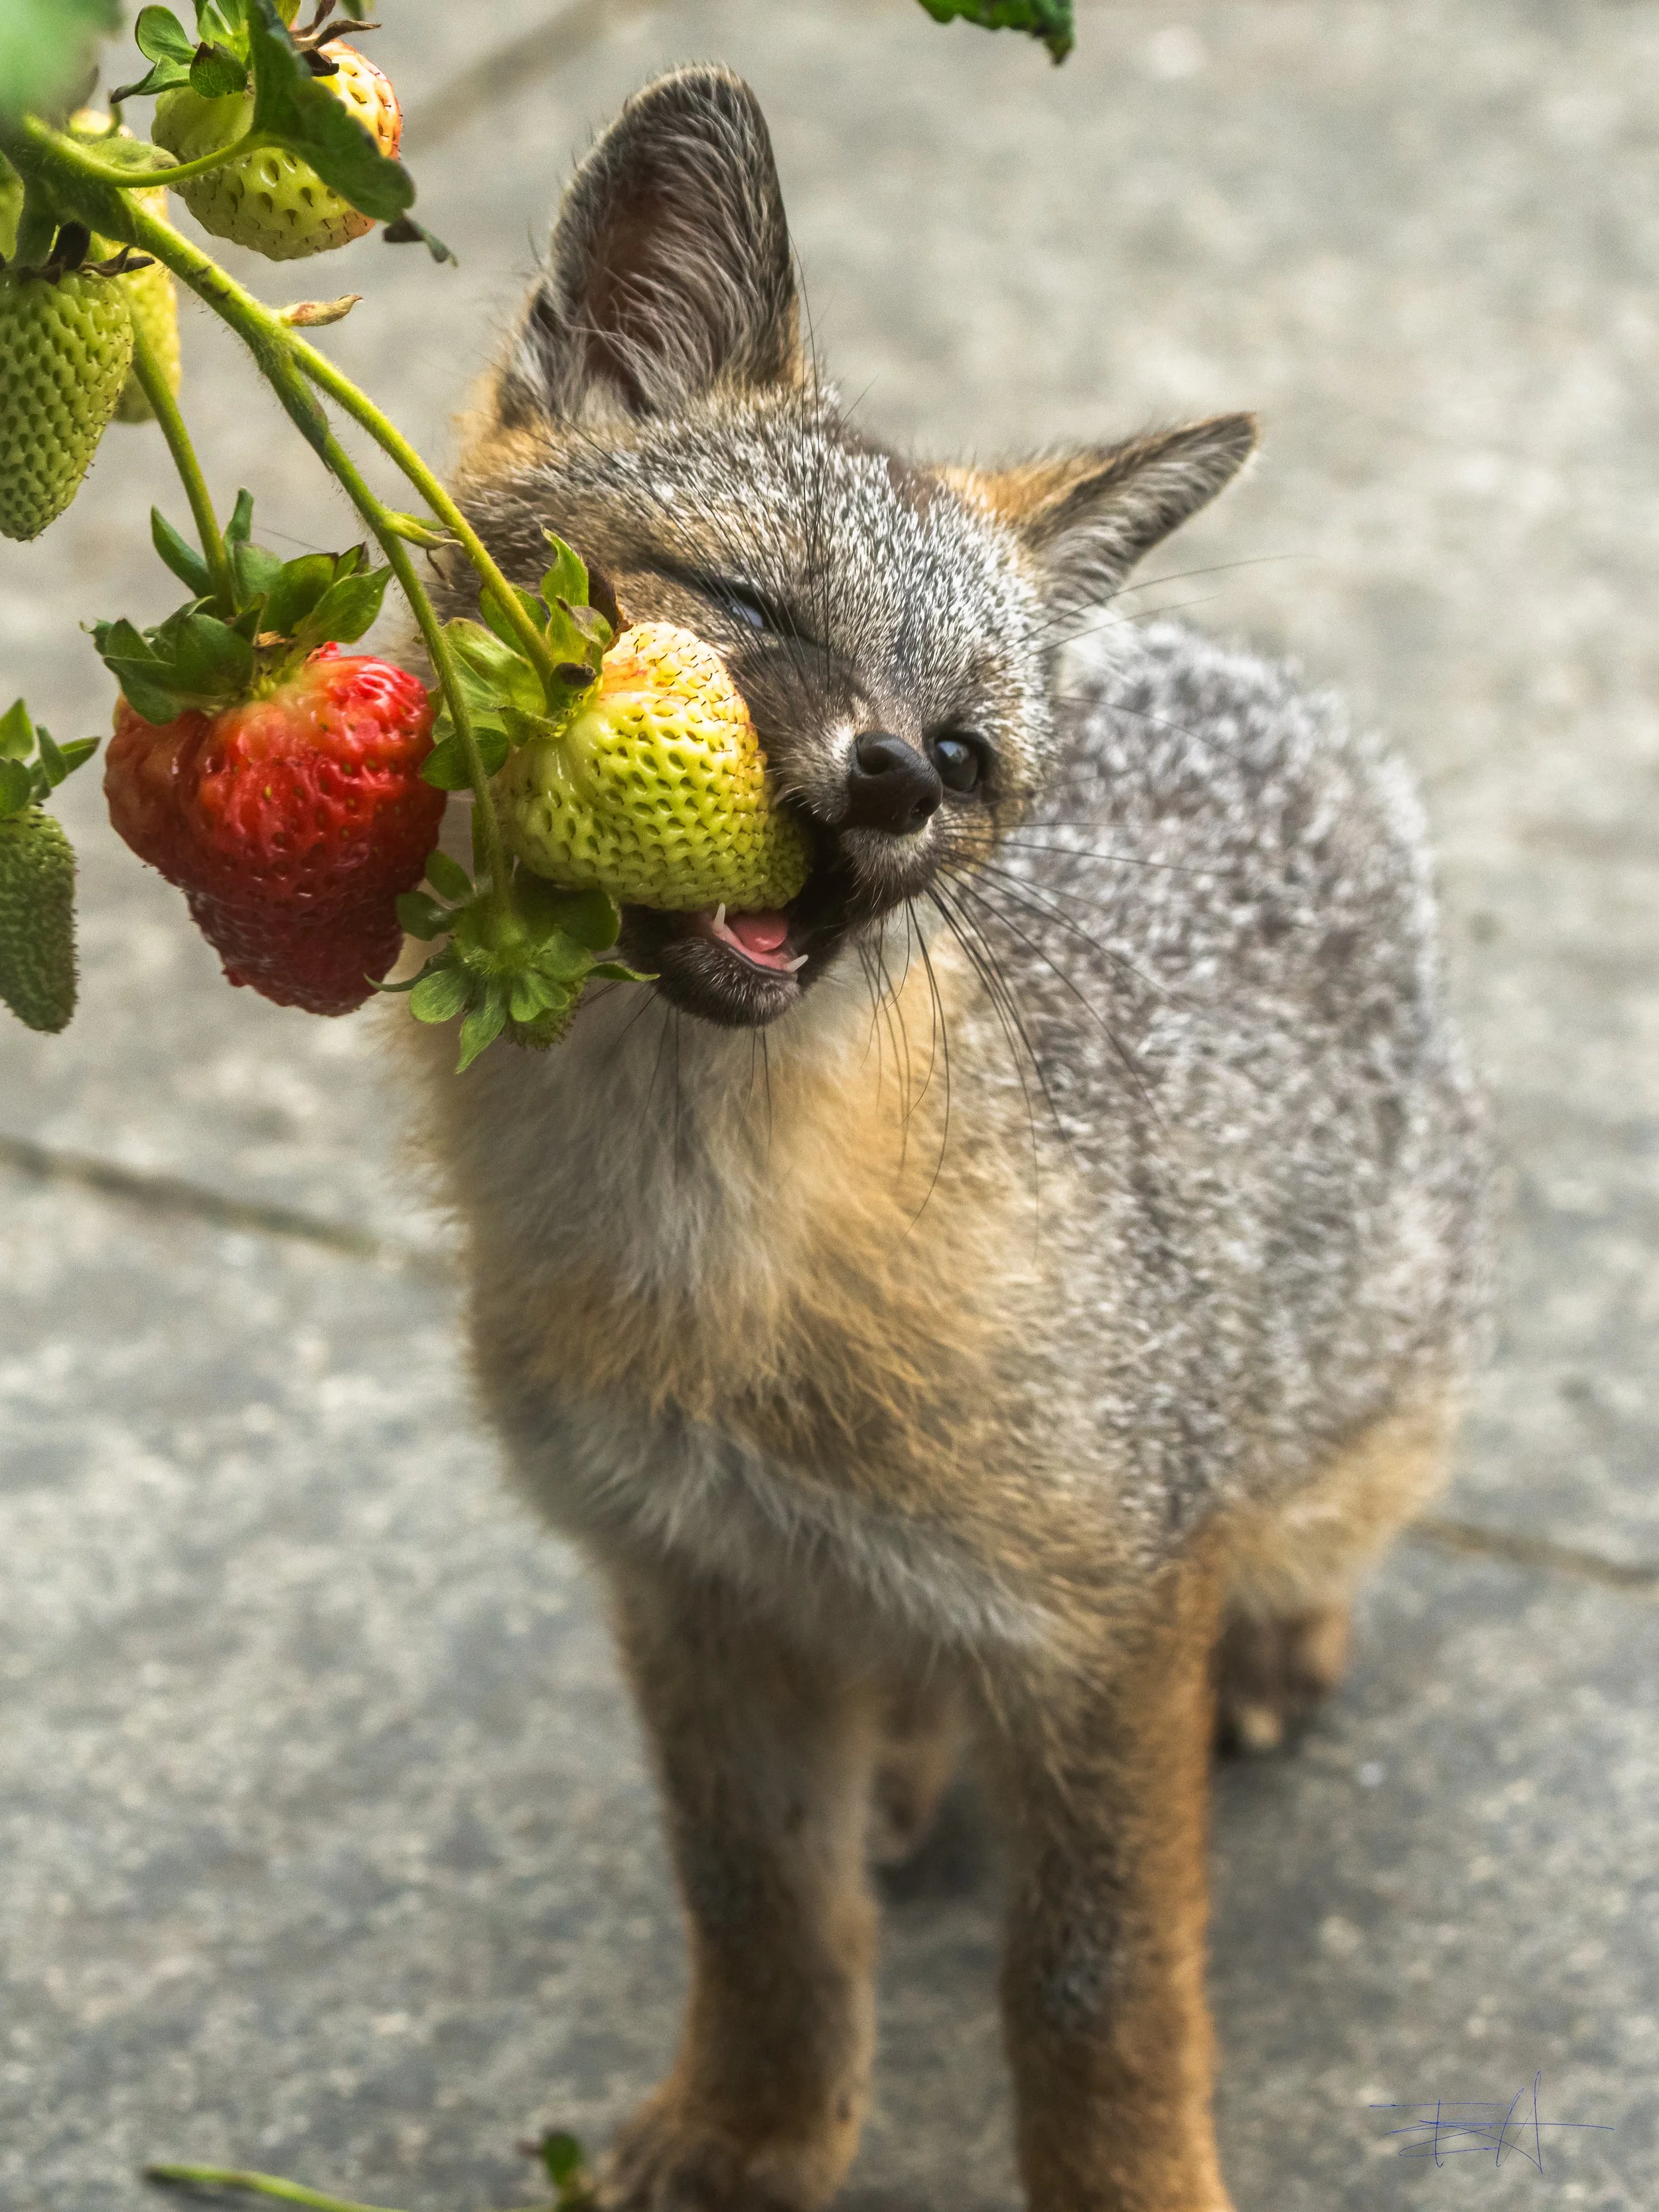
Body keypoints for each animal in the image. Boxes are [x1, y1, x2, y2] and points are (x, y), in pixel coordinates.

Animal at [405, 63, 1488, 2212]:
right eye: (743, 606)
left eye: (972, 750)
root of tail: (1262, 683)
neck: (704, 1261)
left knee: (1304, 1539)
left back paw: (1258, 1647)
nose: (898, 778)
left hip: (1348, 1424)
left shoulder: (1104, 1609)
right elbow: (758, 1915)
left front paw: (1127, 2186)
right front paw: (747, 2130)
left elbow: (1095, 1991)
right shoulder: (692, 1586)